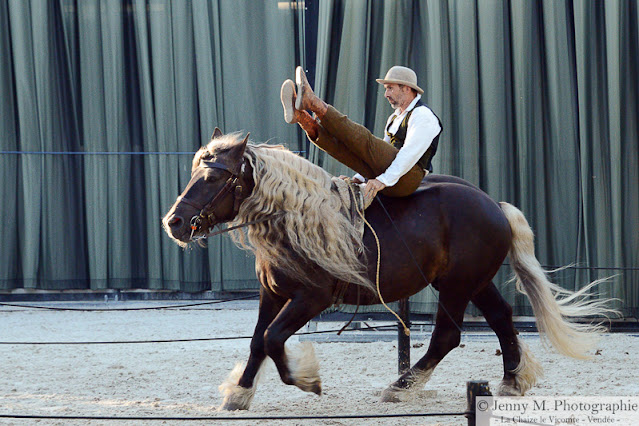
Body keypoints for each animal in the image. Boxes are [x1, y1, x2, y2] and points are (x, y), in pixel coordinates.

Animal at [164, 130, 616, 410]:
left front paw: (308, 381)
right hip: (475, 282)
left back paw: (401, 387)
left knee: (447, 335)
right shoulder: (271, 294)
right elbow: (258, 341)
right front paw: (239, 395)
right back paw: (510, 381)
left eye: (211, 178)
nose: (174, 223)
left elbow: (274, 339)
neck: (295, 219)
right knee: (503, 318)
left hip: (456, 286)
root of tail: (494, 205)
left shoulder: (311, 297)